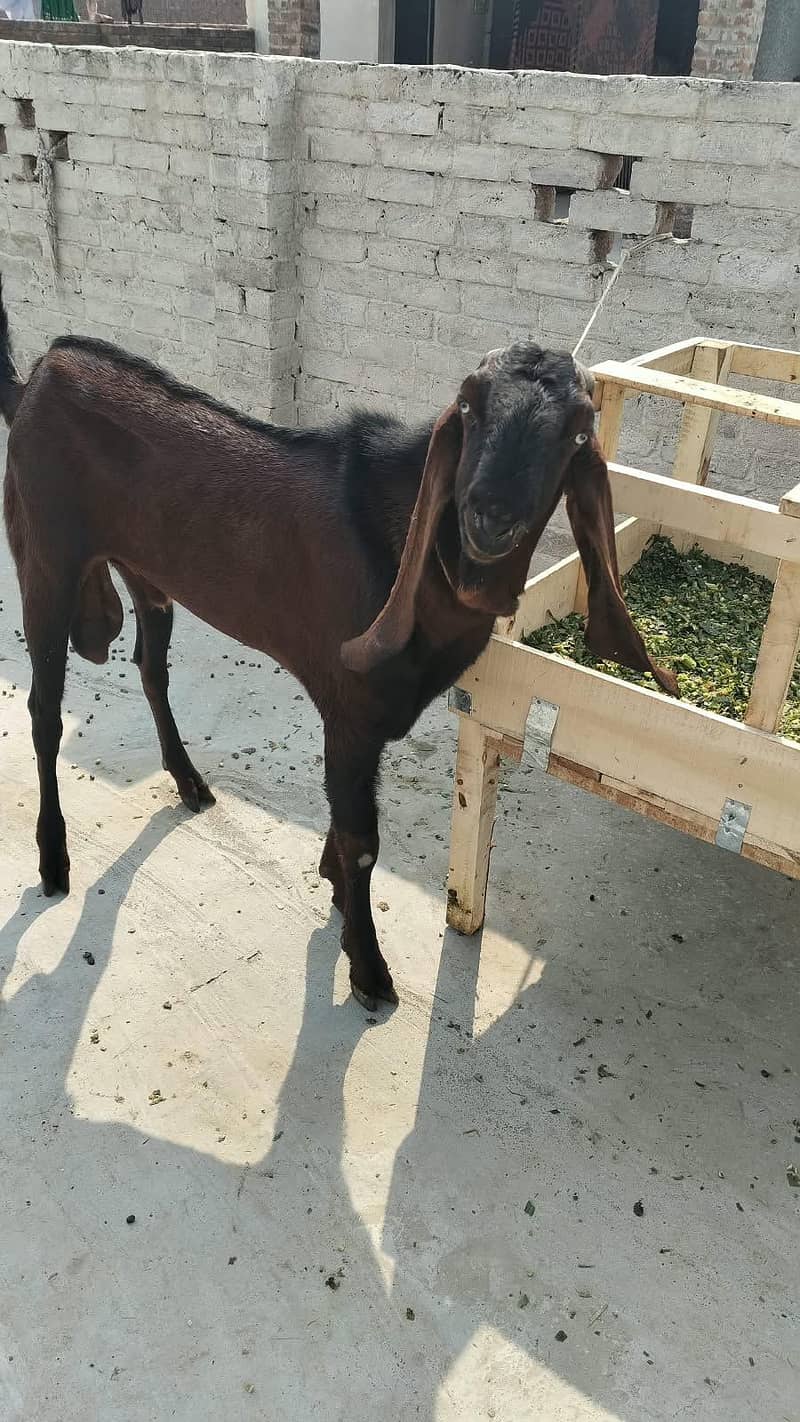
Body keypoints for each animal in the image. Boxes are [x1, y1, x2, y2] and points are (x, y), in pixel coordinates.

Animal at [0, 281, 675, 1009]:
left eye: (577, 430)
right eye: (469, 407)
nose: (489, 519)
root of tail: (36, 380)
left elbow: (344, 825)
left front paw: (332, 890)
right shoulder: (350, 710)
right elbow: (362, 841)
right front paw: (367, 967)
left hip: (145, 574)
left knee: (152, 670)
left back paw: (189, 782)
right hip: (46, 558)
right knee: (43, 709)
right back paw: (53, 859)